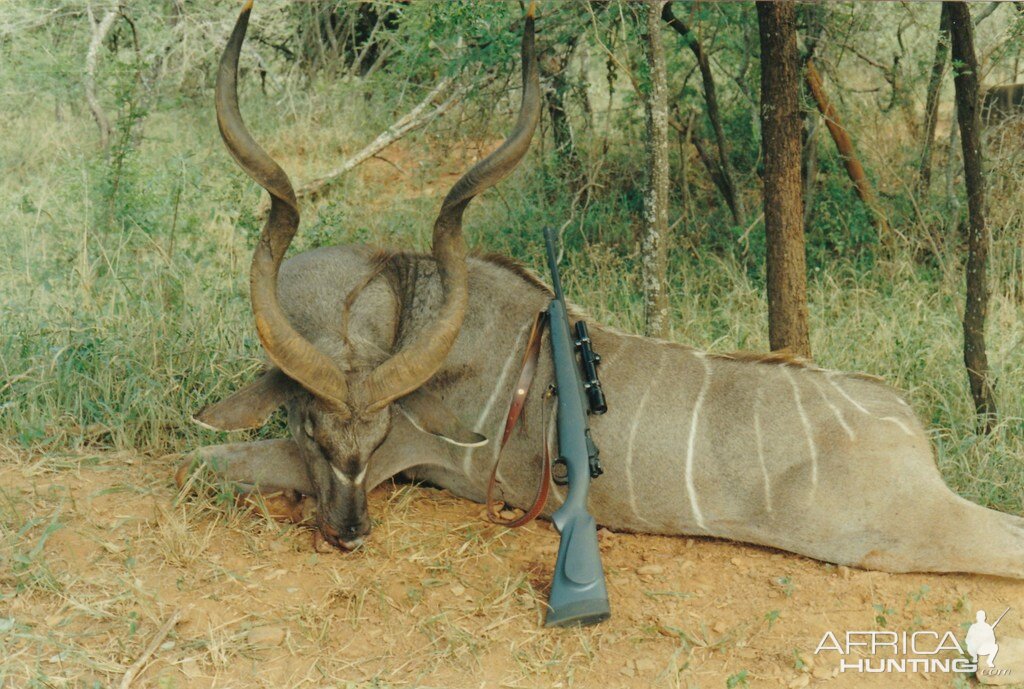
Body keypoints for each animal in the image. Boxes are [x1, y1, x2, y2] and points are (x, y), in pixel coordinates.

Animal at [186, 5, 1024, 577]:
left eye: (378, 435)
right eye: (311, 427)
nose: (351, 530)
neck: (396, 298)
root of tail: (906, 423)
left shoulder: (419, 459)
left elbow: (199, 459)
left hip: (903, 531)